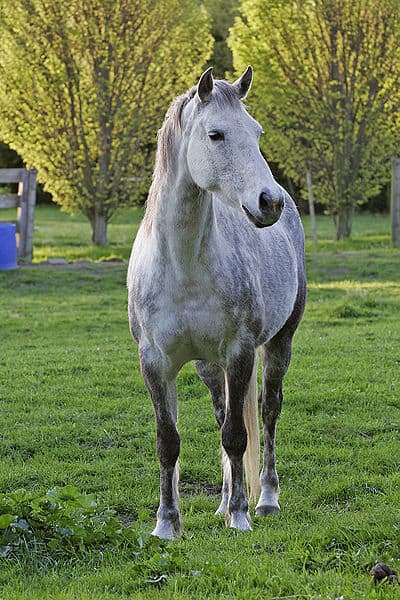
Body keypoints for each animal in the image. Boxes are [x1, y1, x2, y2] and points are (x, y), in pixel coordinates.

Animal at [128, 65, 306, 540]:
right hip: (209, 367)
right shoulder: (155, 362)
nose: (269, 201)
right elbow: (168, 441)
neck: (184, 264)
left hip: (278, 344)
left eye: (257, 132)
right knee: (223, 411)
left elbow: (238, 436)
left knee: (266, 412)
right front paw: (167, 523)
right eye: (216, 134)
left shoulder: (240, 352)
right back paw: (223, 503)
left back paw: (263, 500)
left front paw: (241, 518)